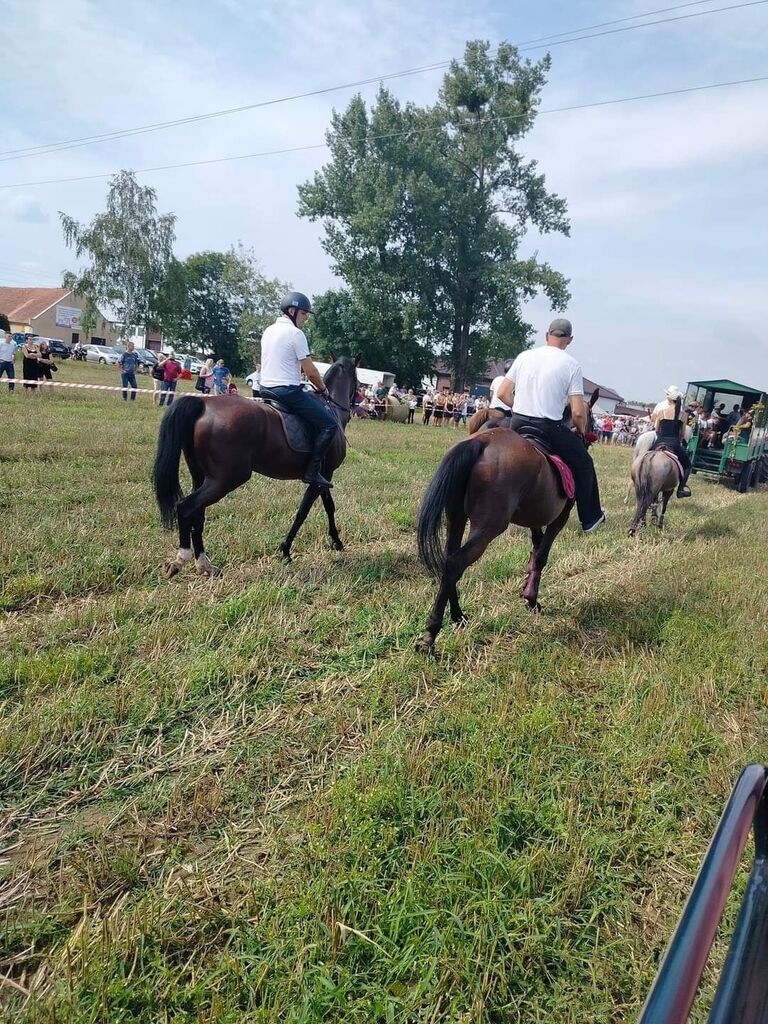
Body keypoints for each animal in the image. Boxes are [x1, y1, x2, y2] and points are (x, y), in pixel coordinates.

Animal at [156, 354, 364, 577]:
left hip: (201, 476)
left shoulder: (323, 475)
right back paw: (182, 559)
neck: (331, 410)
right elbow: (304, 511)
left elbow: (328, 506)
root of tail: (203, 405)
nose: (354, 407)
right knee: (186, 508)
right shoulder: (322, 475)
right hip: (225, 480)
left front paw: (335, 541)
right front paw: (286, 549)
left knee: (197, 514)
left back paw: (204, 564)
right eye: (358, 382)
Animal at [417, 395, 598, 651]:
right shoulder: (559, 517)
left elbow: (535, 548)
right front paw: (531, 599)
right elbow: (542, 556)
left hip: (456, 518)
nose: (590, 435)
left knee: (448, 560)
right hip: (488, 527)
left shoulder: (535, 518)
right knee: (455, 563)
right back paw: (431, 633)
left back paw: (458, 616)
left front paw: (528, 590)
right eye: (591, 418)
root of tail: (481, 442)